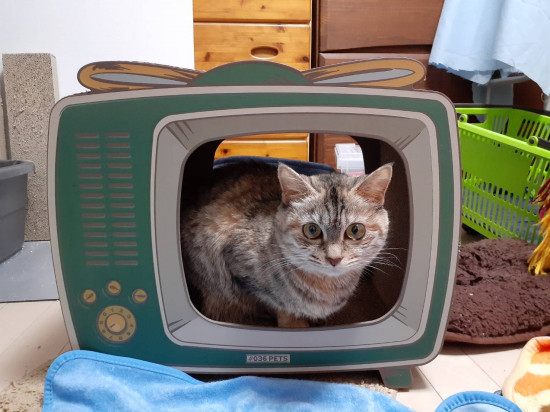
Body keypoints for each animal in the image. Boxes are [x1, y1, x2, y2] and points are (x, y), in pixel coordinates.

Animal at [180, 161, 392, 328]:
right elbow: (278, 304)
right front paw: (294, 323)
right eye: (312, 230)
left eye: (355, 231)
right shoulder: (239, 269)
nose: (334, 259)